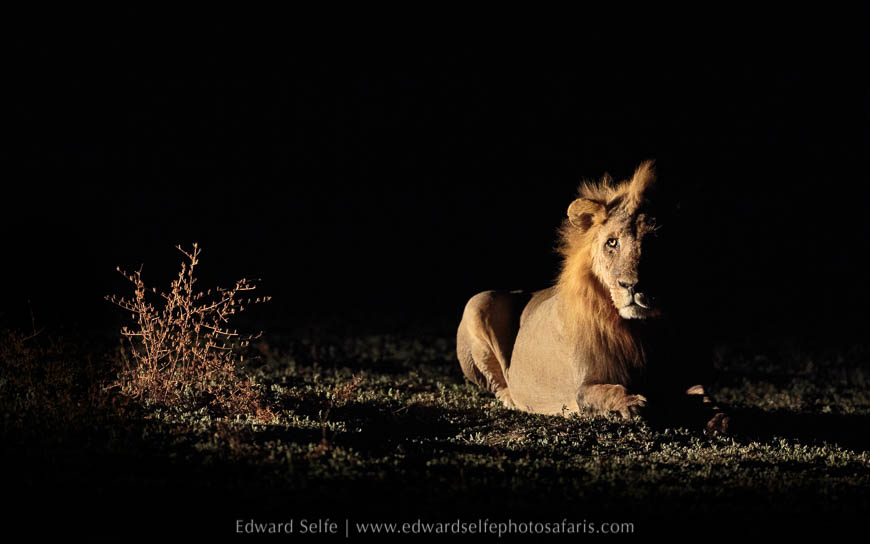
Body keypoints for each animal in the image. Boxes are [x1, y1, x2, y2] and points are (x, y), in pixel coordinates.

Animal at [456, 161, 728, 431]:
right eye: (612, 242)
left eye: (654, 242)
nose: (632, 285)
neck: (639, 330)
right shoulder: (584, 384)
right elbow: (606, 391)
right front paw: (632, 404)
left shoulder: (679, 376)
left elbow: (700, 392)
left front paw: (718, 417)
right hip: (478, 302)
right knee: (500, 384)